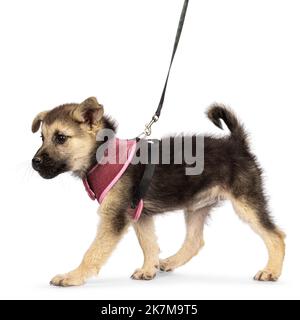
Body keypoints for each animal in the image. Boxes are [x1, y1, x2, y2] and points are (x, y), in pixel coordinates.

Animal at [31, 97, 284, 284]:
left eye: (61, 138)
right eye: (42, 137)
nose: (34, 162)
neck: (102, 155)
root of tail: (237, 143)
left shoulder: (114, 217)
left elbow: (93, 251)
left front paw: (72, 276)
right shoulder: (140, 215)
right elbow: (148, 244)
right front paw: (148, 269)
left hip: (246, 201)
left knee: (276, 235)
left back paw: (271, 271)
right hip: (197, 204)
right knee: (195, 241)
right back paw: (170, 261)